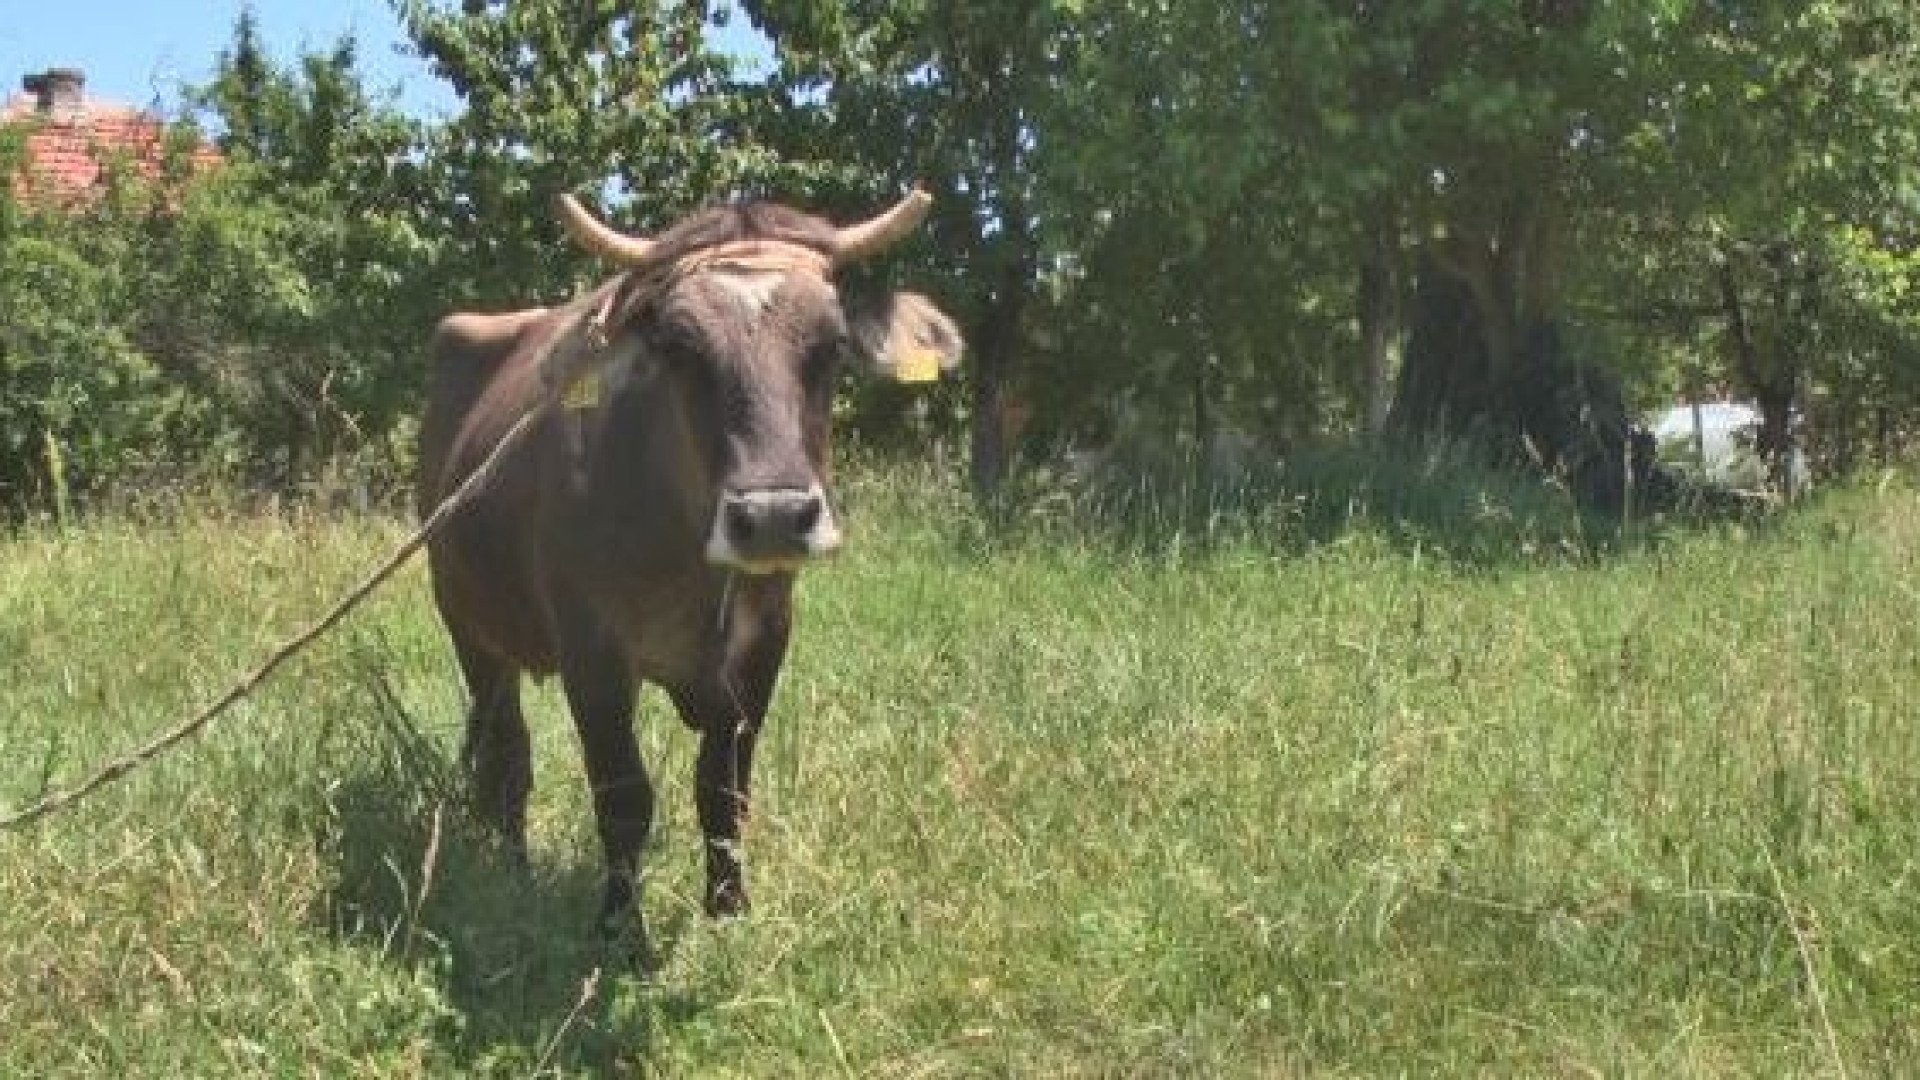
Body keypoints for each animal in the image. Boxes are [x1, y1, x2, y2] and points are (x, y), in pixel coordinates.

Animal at [418, 189, 960, 937]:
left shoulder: (763, 647)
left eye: (832, 345)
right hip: (468, 626)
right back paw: (514, 872)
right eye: (679, 348)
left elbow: (724, 791)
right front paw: (620, 931)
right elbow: (624, 799)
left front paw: (729, 913)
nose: (773, 517)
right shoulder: (593, 654)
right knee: (506, 753)